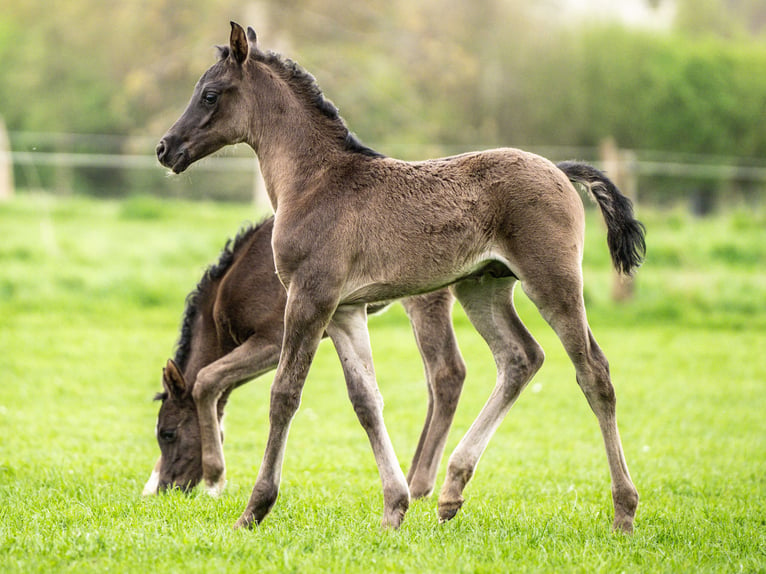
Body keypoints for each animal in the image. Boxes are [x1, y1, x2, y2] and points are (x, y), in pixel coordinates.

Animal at [144, 218, 468, 502]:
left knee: (447, 373)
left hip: (426, 297)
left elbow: (207, 379)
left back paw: (420, 485)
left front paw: (214, 477)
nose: (167, 487)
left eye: (168, 433)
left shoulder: (273, 339)